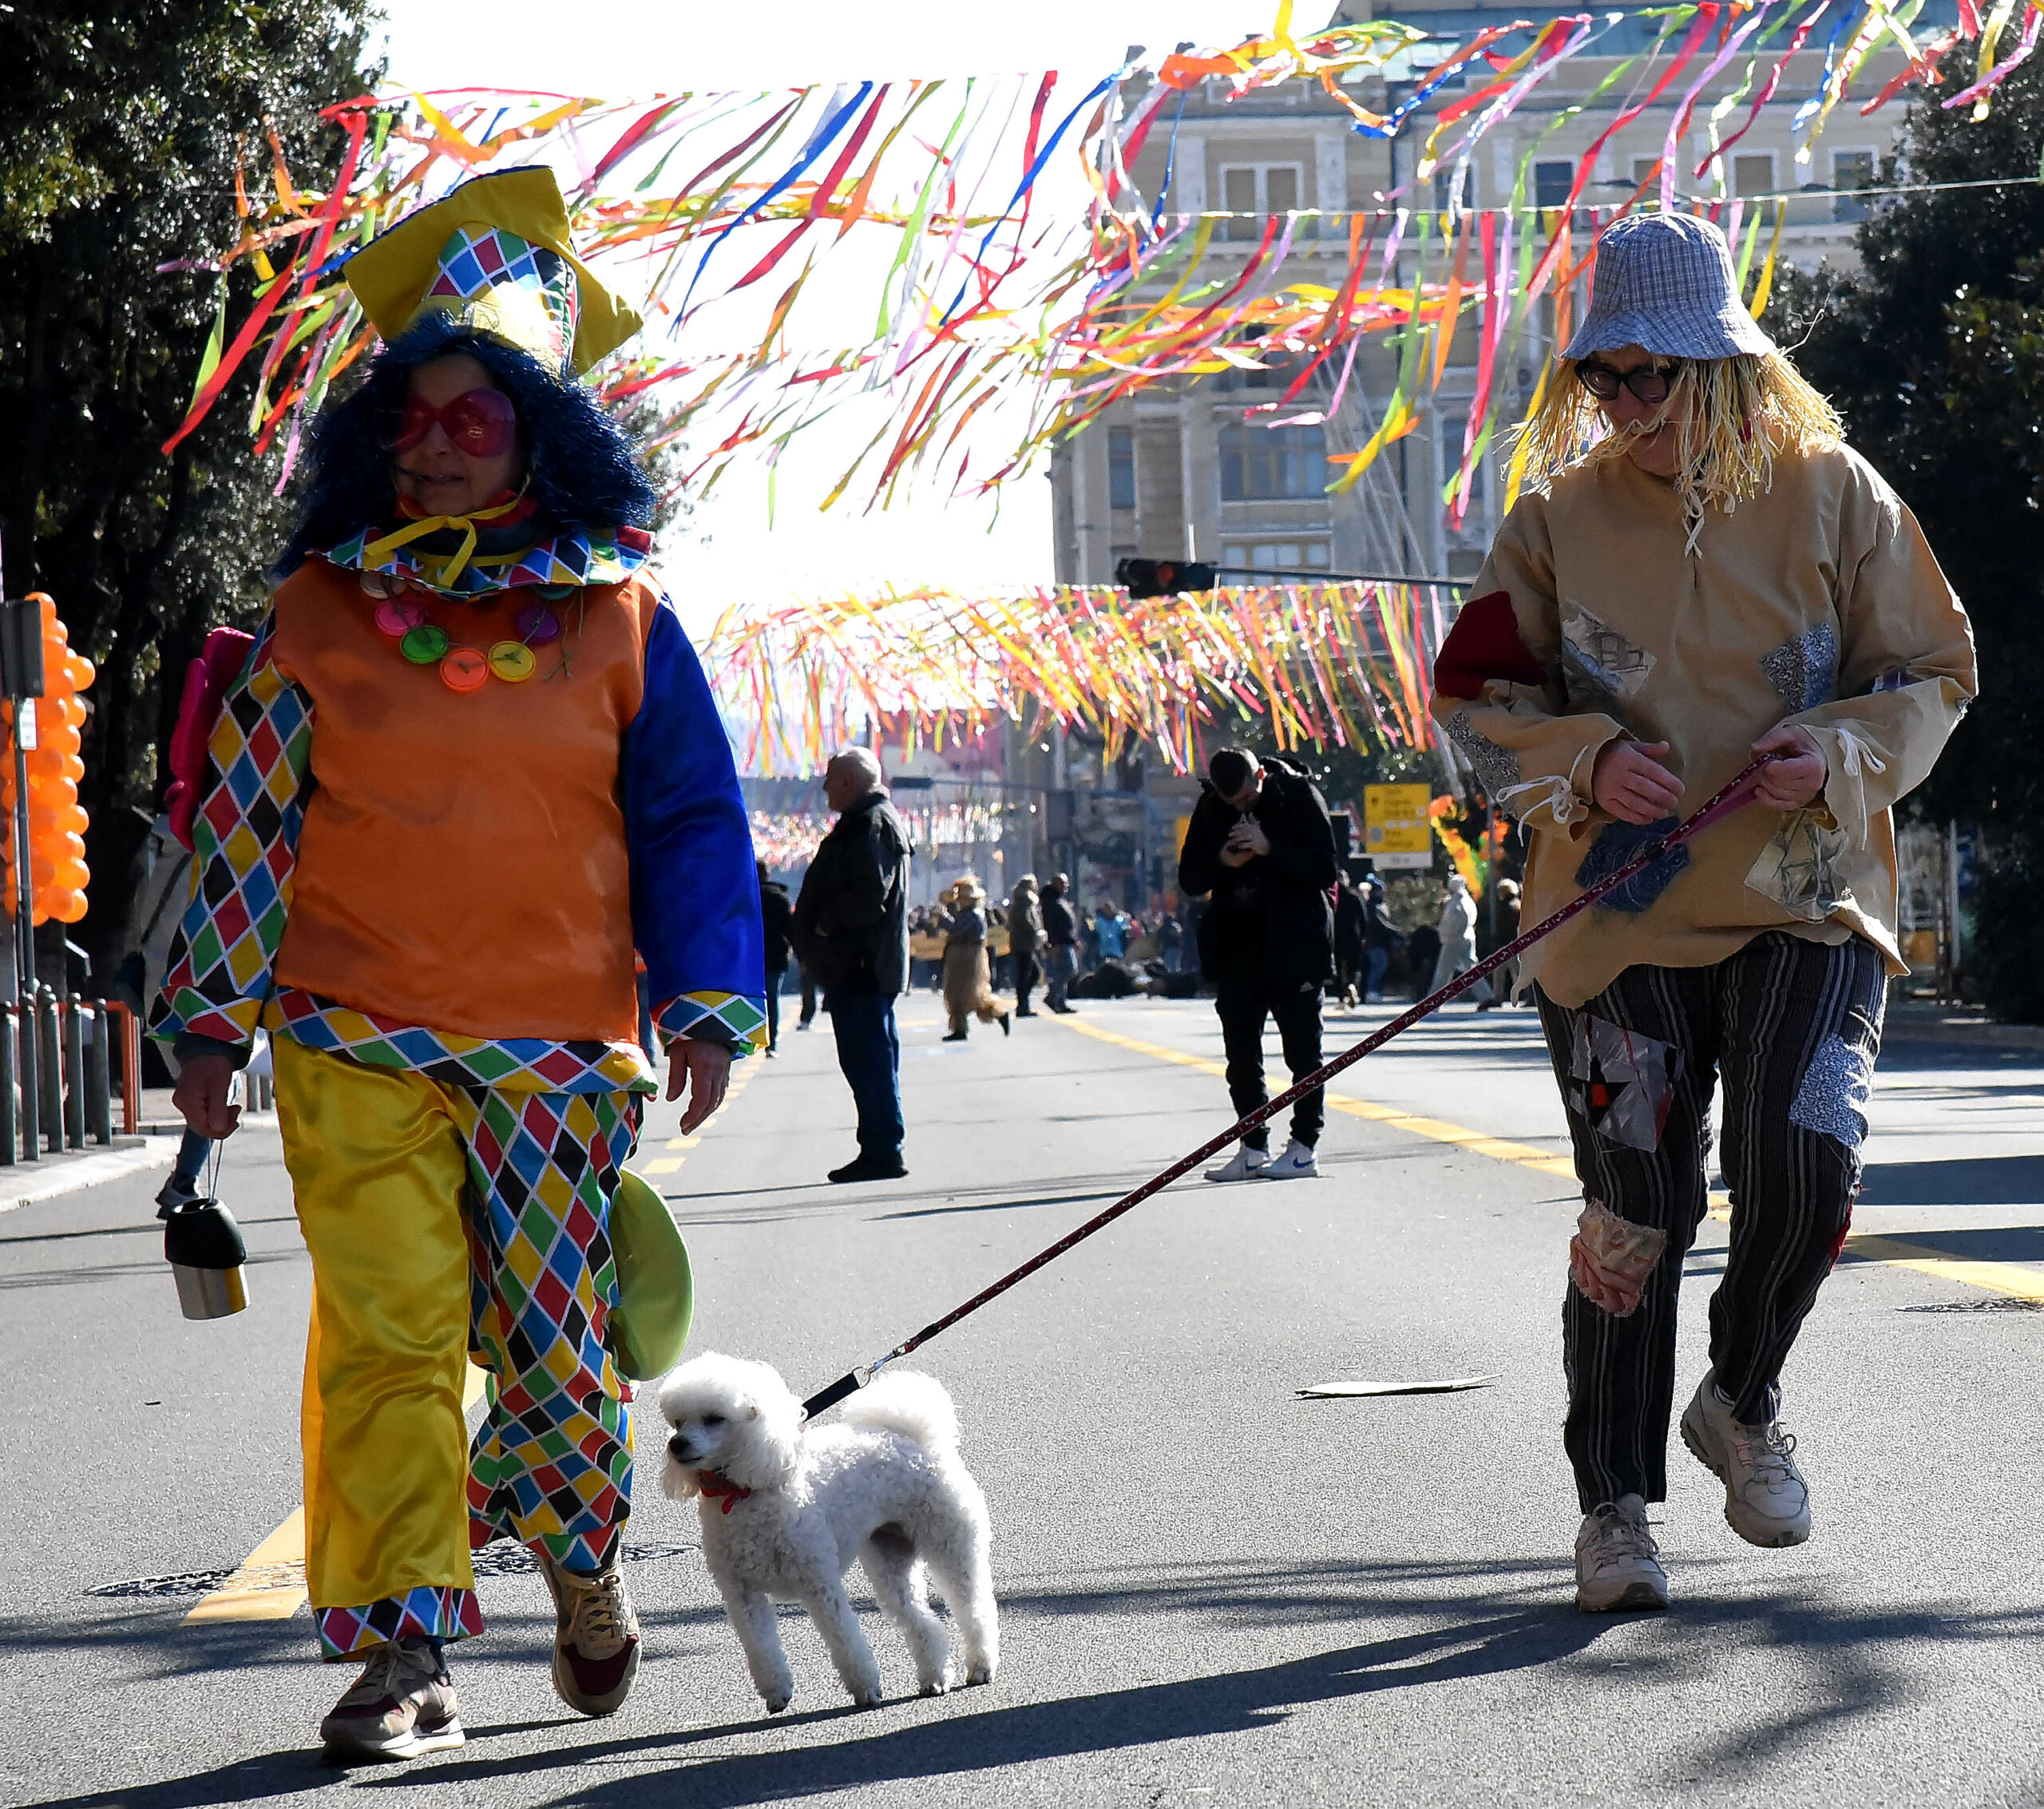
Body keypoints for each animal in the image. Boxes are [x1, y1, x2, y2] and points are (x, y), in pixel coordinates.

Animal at [654, 1357, 997, 1708]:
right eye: (678, 1422)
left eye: (714, 1419)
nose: (676, 1444)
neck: (744, 1490)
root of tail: (913, 1440)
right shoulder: (741, 1594)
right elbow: (761, 1648)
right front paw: (777, 1691)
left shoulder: (819, 1584)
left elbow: (845, 1638)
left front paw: (866, 1688)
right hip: (889, 1558)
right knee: (921, 1619)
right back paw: (936, 1677)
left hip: (950, 1542)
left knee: (974, 1607)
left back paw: (981, 1666)